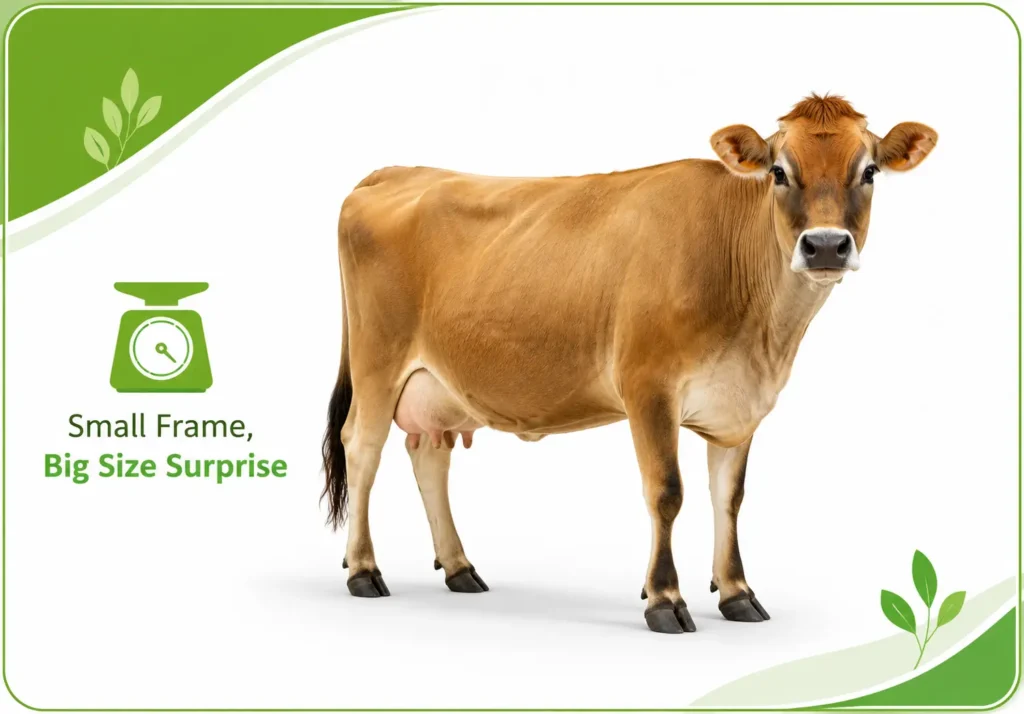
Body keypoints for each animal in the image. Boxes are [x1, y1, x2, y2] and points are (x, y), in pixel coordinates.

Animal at [322, 94, 937, 634]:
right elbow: (667, 491)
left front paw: (736, 592)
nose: (826, 245)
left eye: (870, 171)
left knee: (429, 454)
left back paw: (460, 568)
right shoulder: (647, 387)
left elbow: (729, 498)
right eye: (780, 172)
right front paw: (665, 599)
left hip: (438, 384)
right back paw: (364, 570)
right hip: (378, 361)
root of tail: (393, 173)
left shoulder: (740, 404)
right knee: (362, 447)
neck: (761, 336)